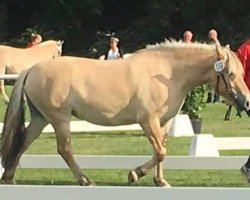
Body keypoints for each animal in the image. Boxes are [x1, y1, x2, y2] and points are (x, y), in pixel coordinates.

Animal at [0, 39, 250, 187]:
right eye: (229, 73)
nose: (246, 101)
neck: (168, 73)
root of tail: (31, 69)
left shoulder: (163, 122)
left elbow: (162, 150)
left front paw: (160, 181)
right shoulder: (148, 121)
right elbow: (160, 152)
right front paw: (135, 174)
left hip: (41, 119)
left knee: (22, 142)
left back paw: (9, 177)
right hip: (59, 119)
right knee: (64, 149)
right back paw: (85, 180)